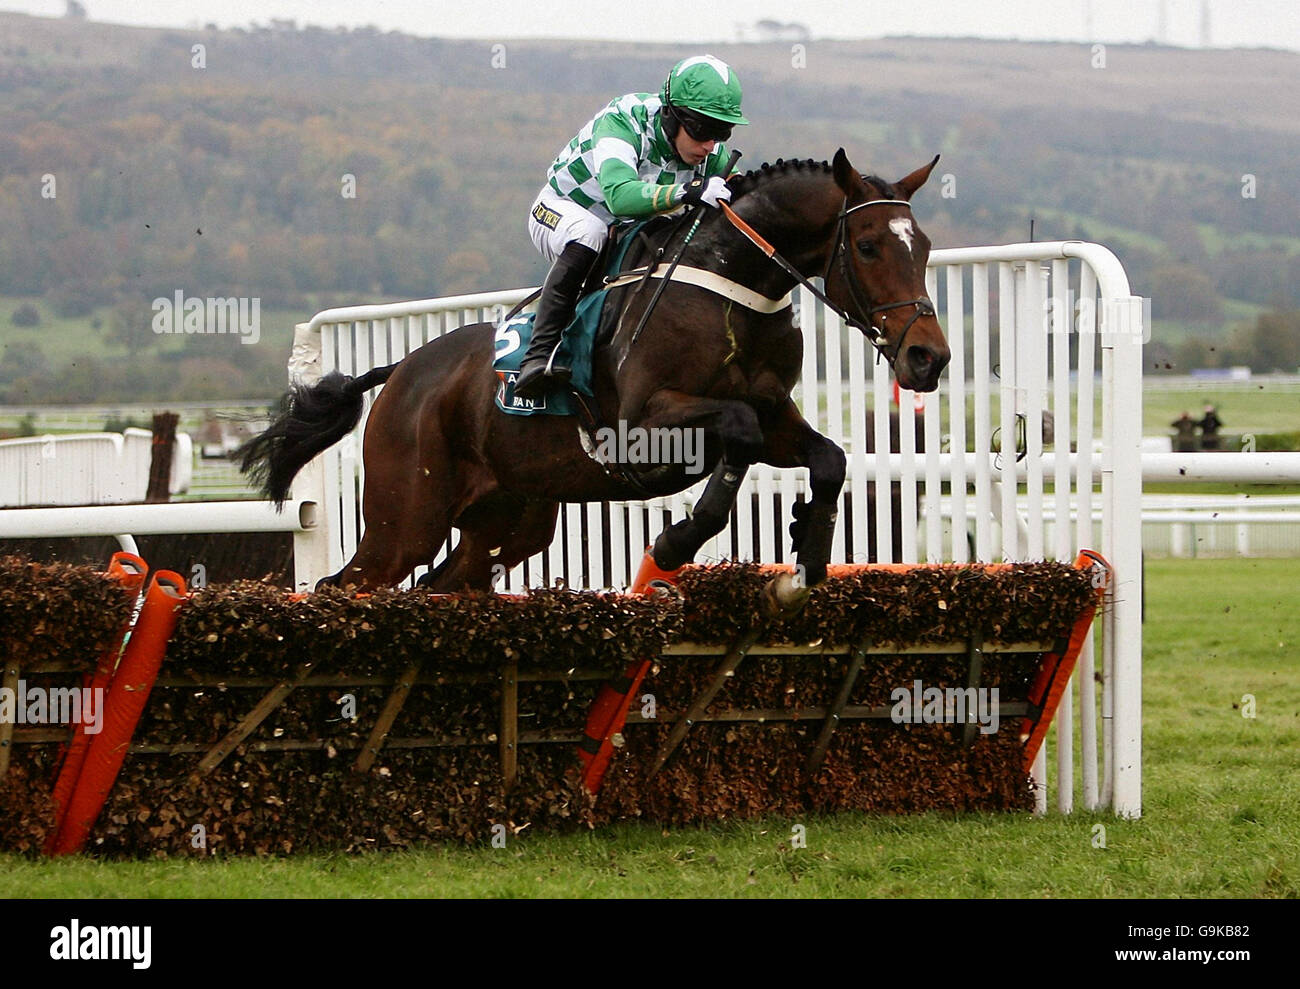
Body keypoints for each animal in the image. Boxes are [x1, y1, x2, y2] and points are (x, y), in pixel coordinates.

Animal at [241, 149, 956, 605]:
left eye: (921, 245)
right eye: (867, 246)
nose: (930, 358)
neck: (729, 285)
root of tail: (401, 374)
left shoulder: (777, 414)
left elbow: (826, 458)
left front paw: (804, 557)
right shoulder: (642, 427)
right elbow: (738, 429)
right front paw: (675, 542)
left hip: (508, 520)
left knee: (442, 584)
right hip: (405, 519)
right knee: (344, 585)